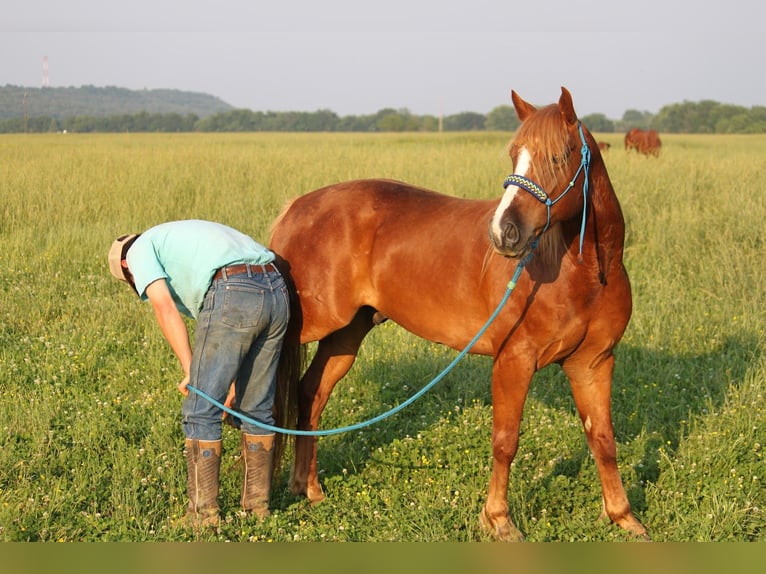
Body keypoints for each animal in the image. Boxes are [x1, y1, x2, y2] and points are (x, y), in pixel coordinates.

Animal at [270, 86, 648, 544]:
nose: (504, 233)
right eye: (514, 154)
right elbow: (506, 440)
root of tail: (297, 206)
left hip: (345, 334)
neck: (586, 272)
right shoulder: (514, 360)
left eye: (561, 156)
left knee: (311, 394)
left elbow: (604, 439)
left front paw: (624, 517)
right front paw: (499, 521)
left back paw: (308, 489)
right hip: (300, 327)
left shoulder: (593, 363)